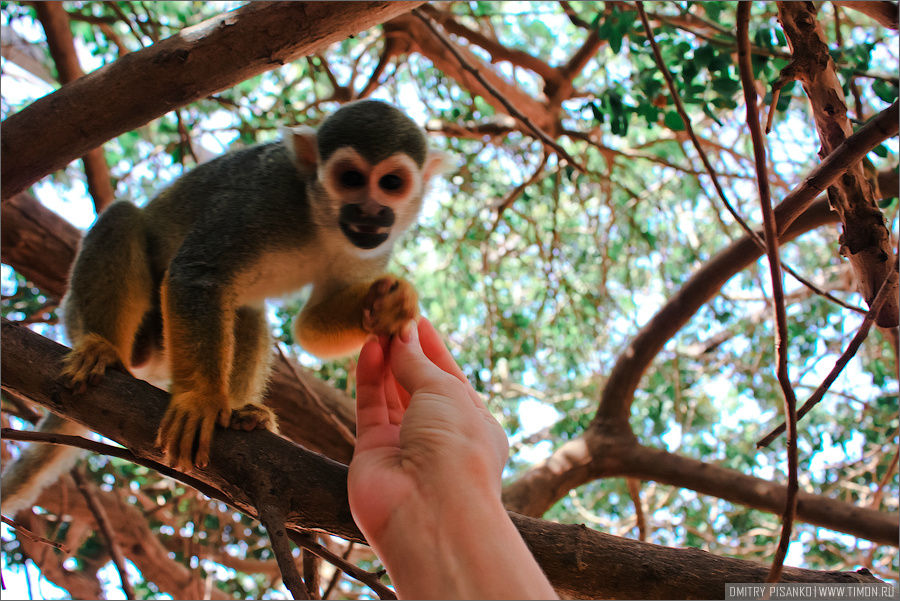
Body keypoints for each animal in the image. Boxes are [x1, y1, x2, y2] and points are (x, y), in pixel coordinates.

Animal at [1, 102, 448, 510]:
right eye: (351, 178)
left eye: (391, 182)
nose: (370, 212)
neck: (321, 220)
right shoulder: (266, 195)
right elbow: (197, 272)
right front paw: (201, 398)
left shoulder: (374, 246)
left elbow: (309, 327)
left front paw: (387, 304)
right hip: (94, 321)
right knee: (124, 218)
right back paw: (103, 349)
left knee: (248, 311)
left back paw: (240, 413)